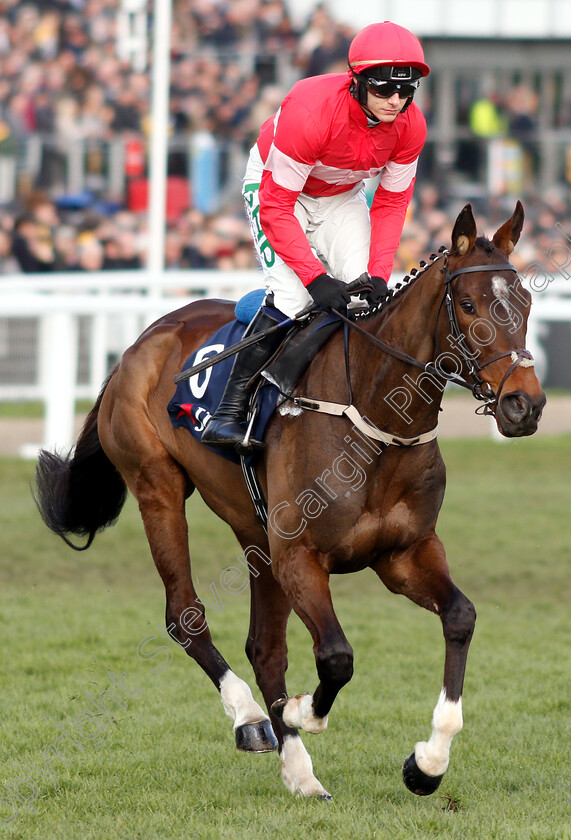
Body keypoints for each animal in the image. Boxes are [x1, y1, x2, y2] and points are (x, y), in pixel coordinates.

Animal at [34, 202, 544, 800]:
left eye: (526, 302)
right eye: (468, 305)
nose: (525, 405)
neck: (376, 421)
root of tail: (141, 342)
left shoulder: (404, 552)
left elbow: (460, 617)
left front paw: (427, 763)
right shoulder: (300, 556)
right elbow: (337, 657)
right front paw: (300, 711)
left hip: (256, 533)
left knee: (264, 647)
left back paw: (300, 772)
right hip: (157, 486)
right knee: (185, 615)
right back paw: (253, 718)